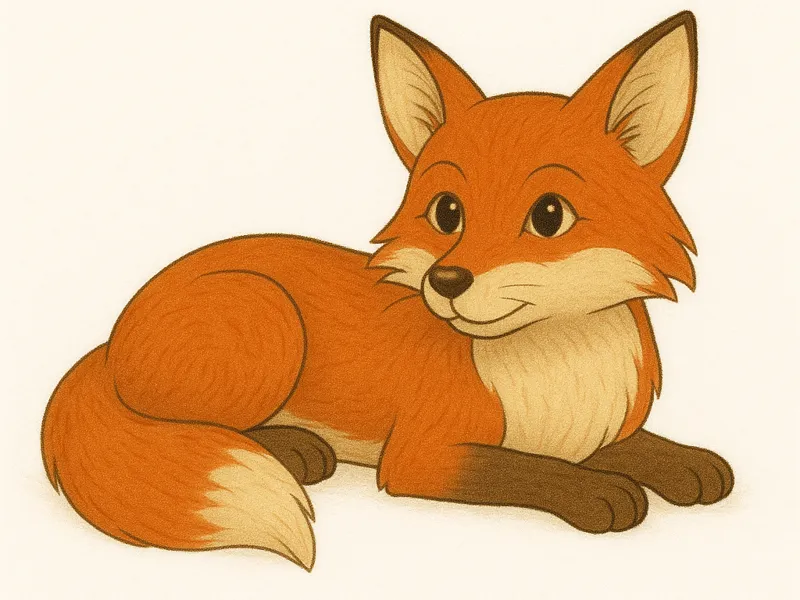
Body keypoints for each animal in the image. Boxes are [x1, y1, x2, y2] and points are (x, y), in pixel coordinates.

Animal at [41, 11, 733, 570]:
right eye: (448, 212)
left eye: (548, 216)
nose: (446, 281)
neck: (555, 366)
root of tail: (108, 339)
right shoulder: (422, 458)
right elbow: (522, 468)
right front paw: (594, 491)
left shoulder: (594, 428)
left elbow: (637, 446)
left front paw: (689, 462)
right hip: (267, 319)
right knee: (180, 424)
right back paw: (293, 448)